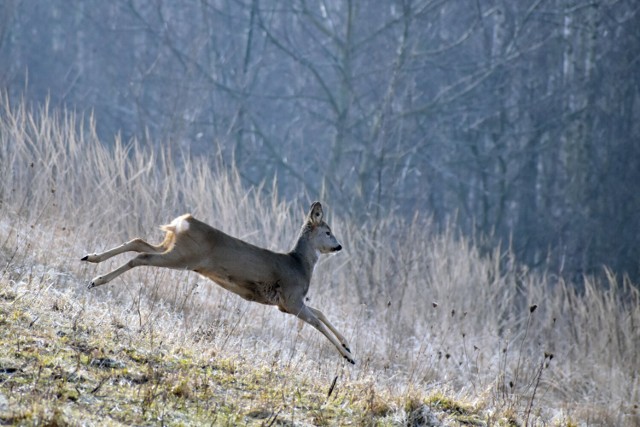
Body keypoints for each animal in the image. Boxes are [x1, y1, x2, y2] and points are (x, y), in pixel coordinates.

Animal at [81, 202, 356, 362]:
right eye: (328, 231)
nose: (339, 246)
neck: (300, 265)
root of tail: (184, 221)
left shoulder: (286, 303)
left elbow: (320, 313)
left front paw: (347, 345)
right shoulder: (291, 298)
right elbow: (317, 322)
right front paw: (347, 356)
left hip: (174, 247)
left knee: (138, 242)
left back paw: (91, 259)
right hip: (184, 256)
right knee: (141, 256)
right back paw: (97, 280)